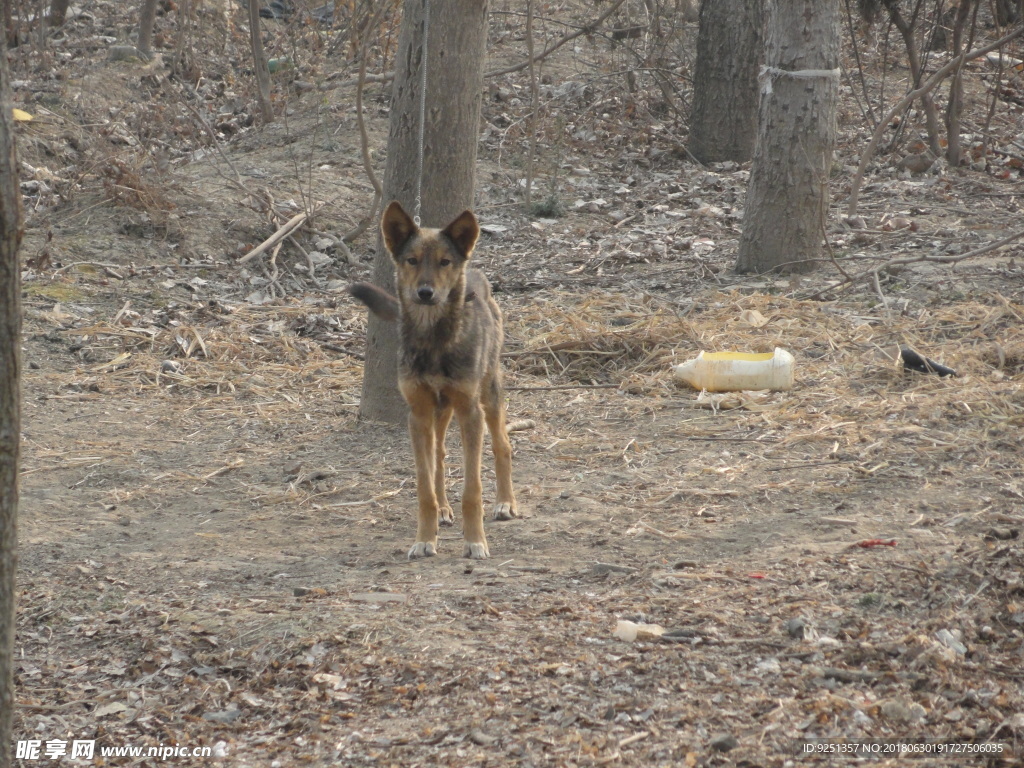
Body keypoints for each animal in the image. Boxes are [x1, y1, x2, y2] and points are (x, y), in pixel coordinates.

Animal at [350, 199, 516, 561]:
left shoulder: (470, 412)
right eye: (411, 261)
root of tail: (477, 273)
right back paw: (443, 510)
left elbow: (472, 489)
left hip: (488, 396)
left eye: (445, 262)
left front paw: (475, 541)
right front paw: (426, 538)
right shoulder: (419, 414)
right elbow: (424, 486)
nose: (425, 293)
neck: (433, 340)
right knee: (438, 454)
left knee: (503, 445)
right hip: (440, 412)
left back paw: (505, 503)